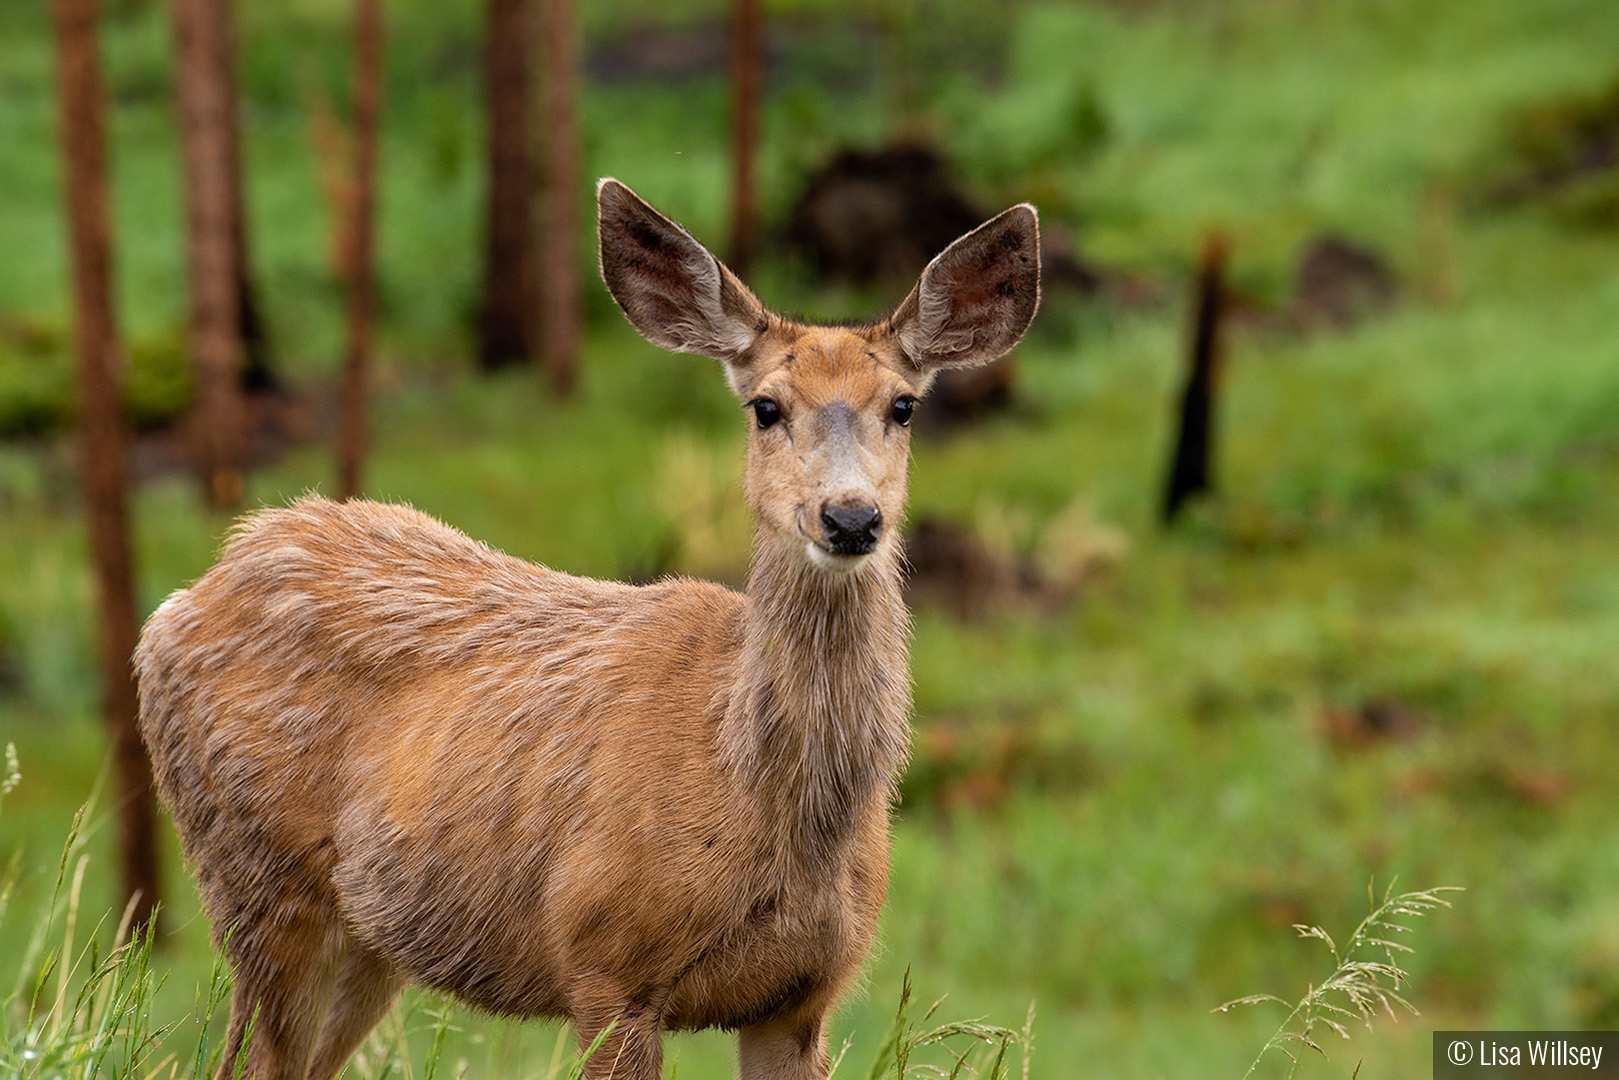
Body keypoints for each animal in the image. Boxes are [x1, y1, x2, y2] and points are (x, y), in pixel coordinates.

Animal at [135, 178, 1040, 1080]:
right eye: (765, 406)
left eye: (904, 406)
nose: (849, 517)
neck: (754, 795)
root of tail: (187, 595)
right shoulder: (603, 960)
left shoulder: (804, 996)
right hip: (258, 880)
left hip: (367, 937)